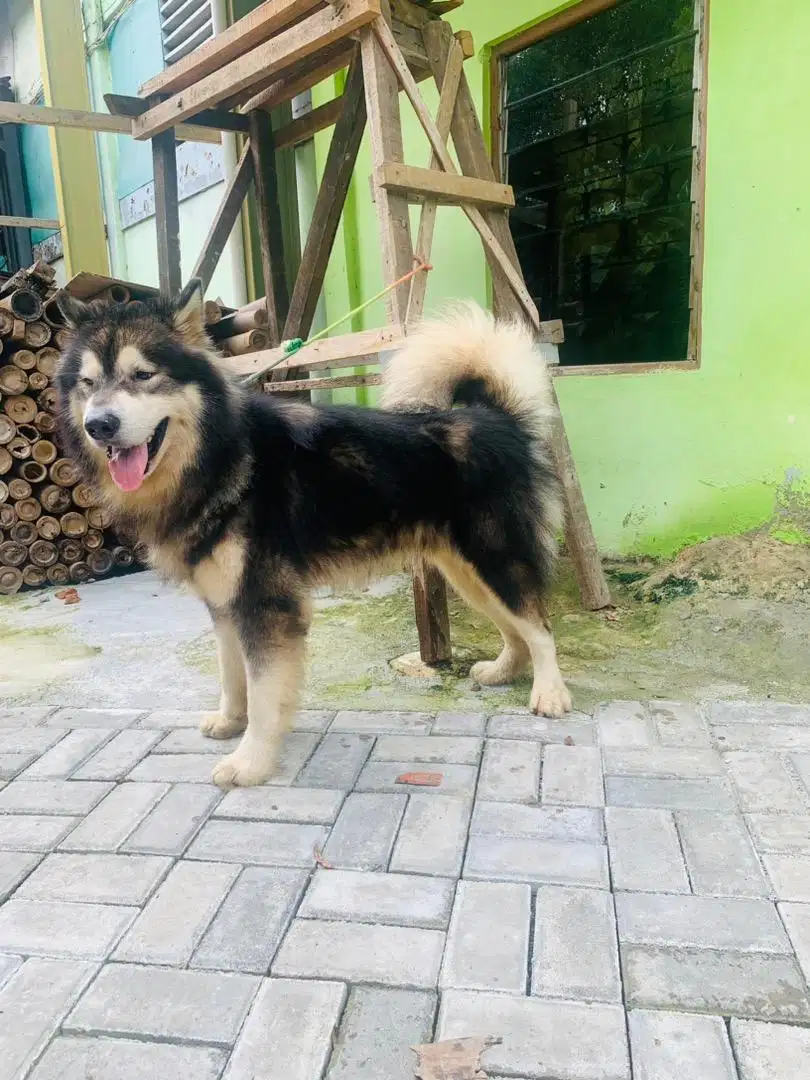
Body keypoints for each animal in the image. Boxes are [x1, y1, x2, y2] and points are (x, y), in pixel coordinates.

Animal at [57, 282, 574, 790]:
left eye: (143, 375)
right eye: (88, 384)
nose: (99, 425)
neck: (221, 454)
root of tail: (496, 417)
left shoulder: (265, 602)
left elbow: (265, 693)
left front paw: (250, 762)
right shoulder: (224, 602)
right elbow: (231, 673)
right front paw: (230, 721)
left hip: (494, 557)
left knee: (539, 624)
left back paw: (550, 693)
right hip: (465, 571)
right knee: (515, 626)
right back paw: (504, 671)